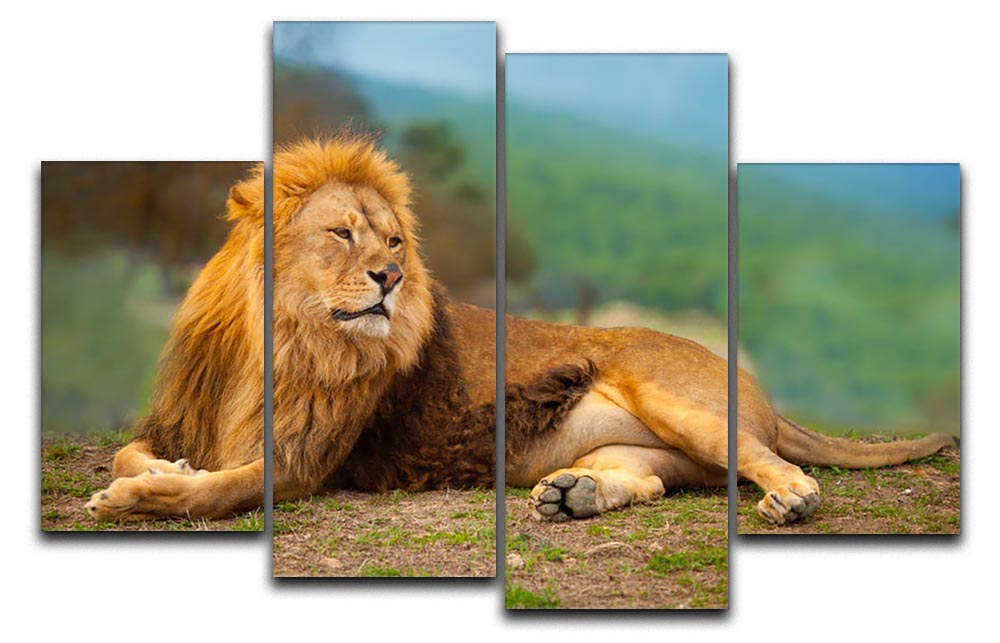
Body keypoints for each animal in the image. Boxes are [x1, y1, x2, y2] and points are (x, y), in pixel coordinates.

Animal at [86, 134, 957, 526]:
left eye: (394, 241)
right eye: (342, 234)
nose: (390, 277)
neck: (281, 335)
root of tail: (757, 387)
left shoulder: (304, 460)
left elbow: (220, 486)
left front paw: (141, 492)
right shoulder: (182, 414)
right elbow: (140, 447)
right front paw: (158, 466)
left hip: (677, 397)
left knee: (767, 458)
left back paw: (792, 497)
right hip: (653, 448)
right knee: (653, 478)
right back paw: (575, 494)